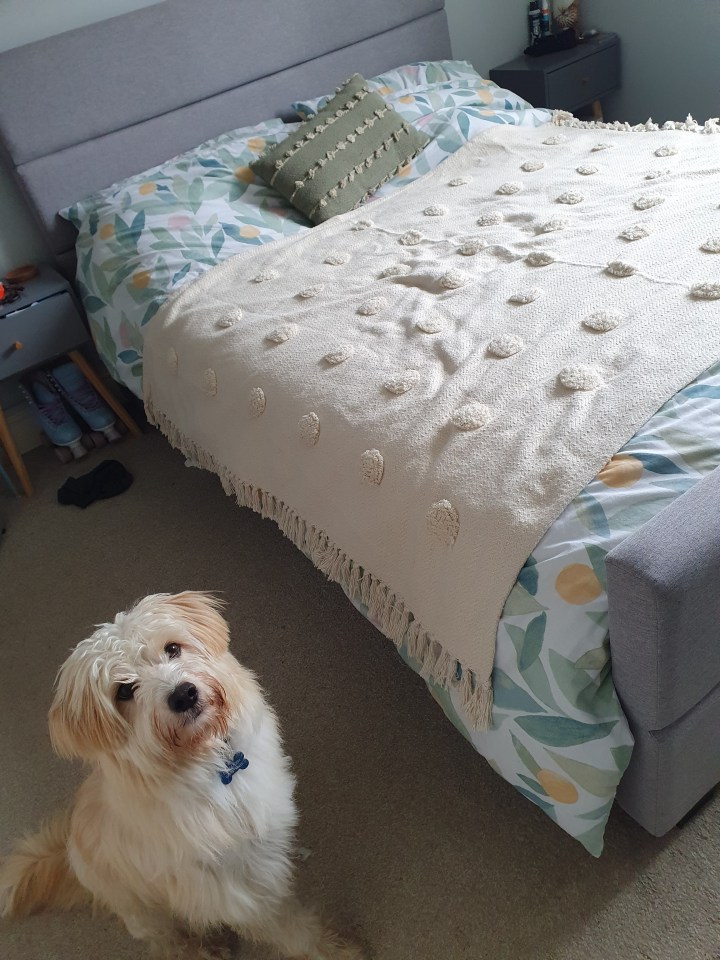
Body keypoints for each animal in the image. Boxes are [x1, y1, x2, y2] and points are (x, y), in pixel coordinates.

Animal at [0, 592, 360, 960]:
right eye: (124, 692)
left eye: (172, 648)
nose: (183, 694)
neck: (215, 768)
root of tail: (69, 855)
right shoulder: (238, 891)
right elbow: (291, 929)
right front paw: (333, 949)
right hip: (147, 912)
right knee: (167, 941)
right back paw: (204, 948)